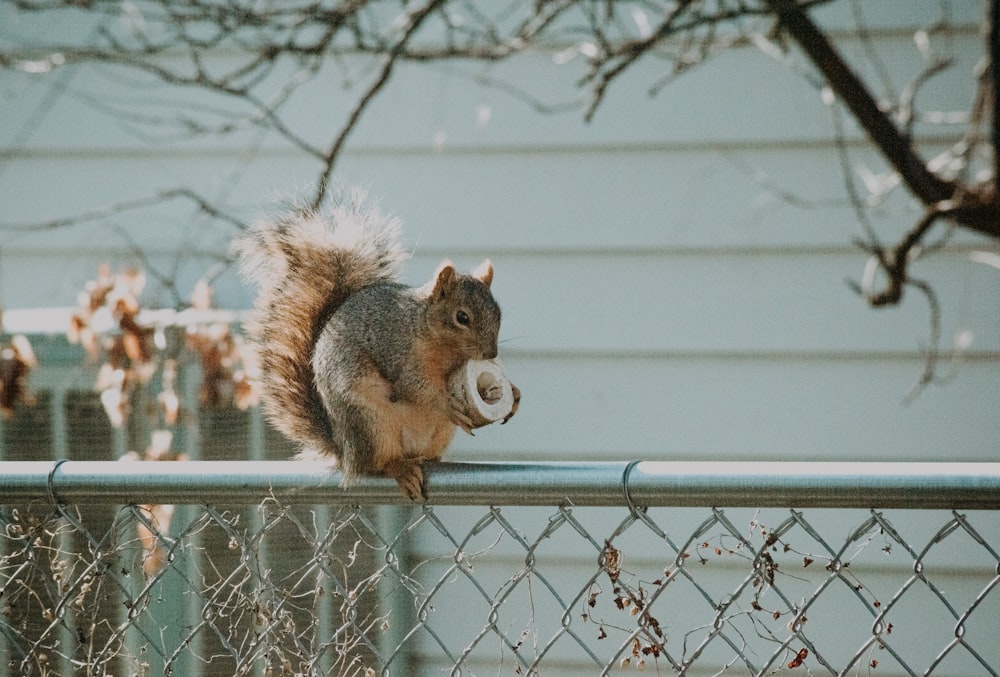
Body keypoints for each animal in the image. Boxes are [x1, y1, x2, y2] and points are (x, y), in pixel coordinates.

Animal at [233, 187, 516, 500]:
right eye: (461, 317)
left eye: (498, 312)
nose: (490, 353)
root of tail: (344, 451)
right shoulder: (395, 348)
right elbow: (412, 385)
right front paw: (446, 403)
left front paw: (513, 395)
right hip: (369, 423)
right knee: (377, 464)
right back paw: (400, 469)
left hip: (434, 433)